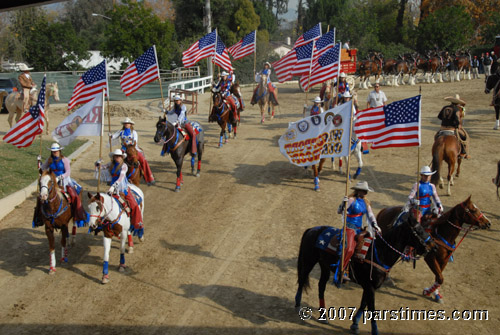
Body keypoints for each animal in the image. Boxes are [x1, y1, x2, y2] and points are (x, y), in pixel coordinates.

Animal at [296, 214, 434, 334]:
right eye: (418, 230)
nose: (430, 248)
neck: (379, 253)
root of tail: (312, 230)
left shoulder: (369, 286)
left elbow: (363, 304)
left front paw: (355, 324)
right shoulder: (370, 286)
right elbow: (372, 308)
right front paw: (375, 330)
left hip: (324, 265)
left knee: (321, 286)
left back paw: (324, 316)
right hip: (309, 261)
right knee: (302, 279)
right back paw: (298, 304)